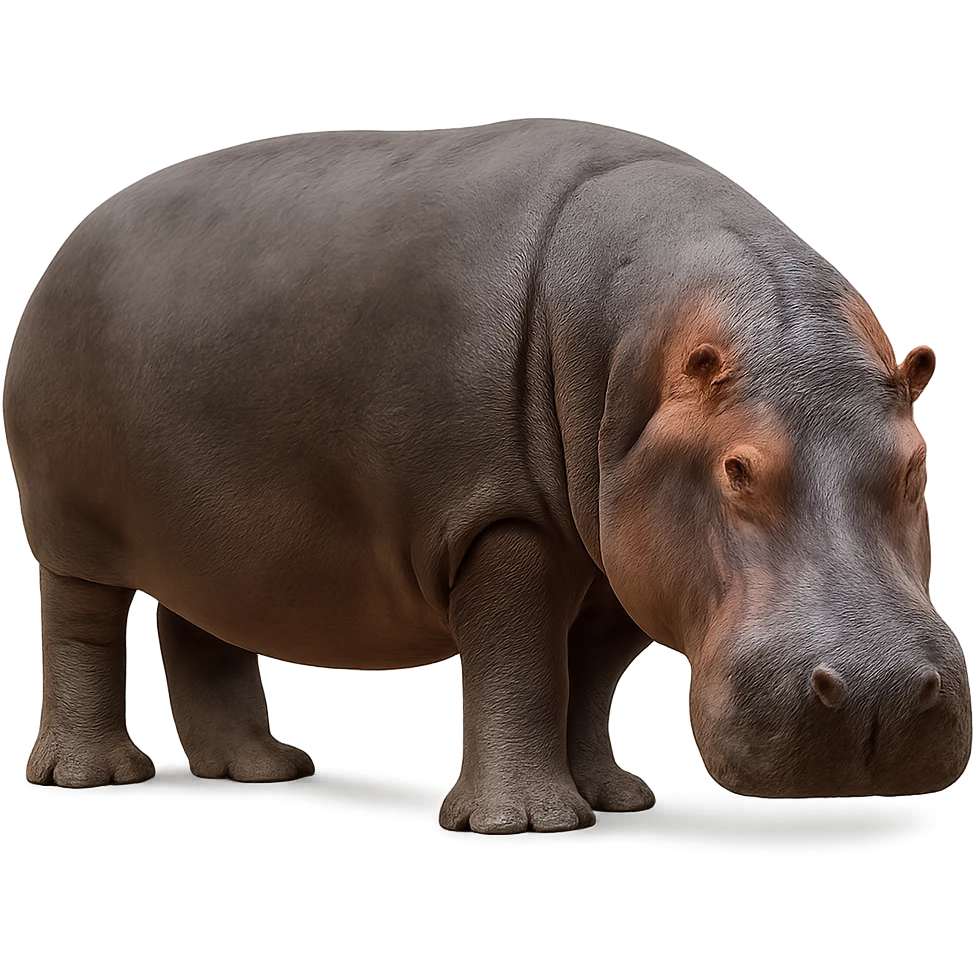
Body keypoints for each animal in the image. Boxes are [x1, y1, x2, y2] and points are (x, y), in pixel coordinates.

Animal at [7, 120, 971, 834]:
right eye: (734, 466)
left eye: (915, 463)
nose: (878, 695)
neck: (640, 345)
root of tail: (72, 236)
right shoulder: (503, 519)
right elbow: (521, 662)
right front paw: (528, 822)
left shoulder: (619, 549)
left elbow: (589, 674)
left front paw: (615, 796)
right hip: (70, 525)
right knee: (81, 626)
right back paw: (94, 773)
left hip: (214, 531)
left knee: (206, 627)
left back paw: (261, 766)